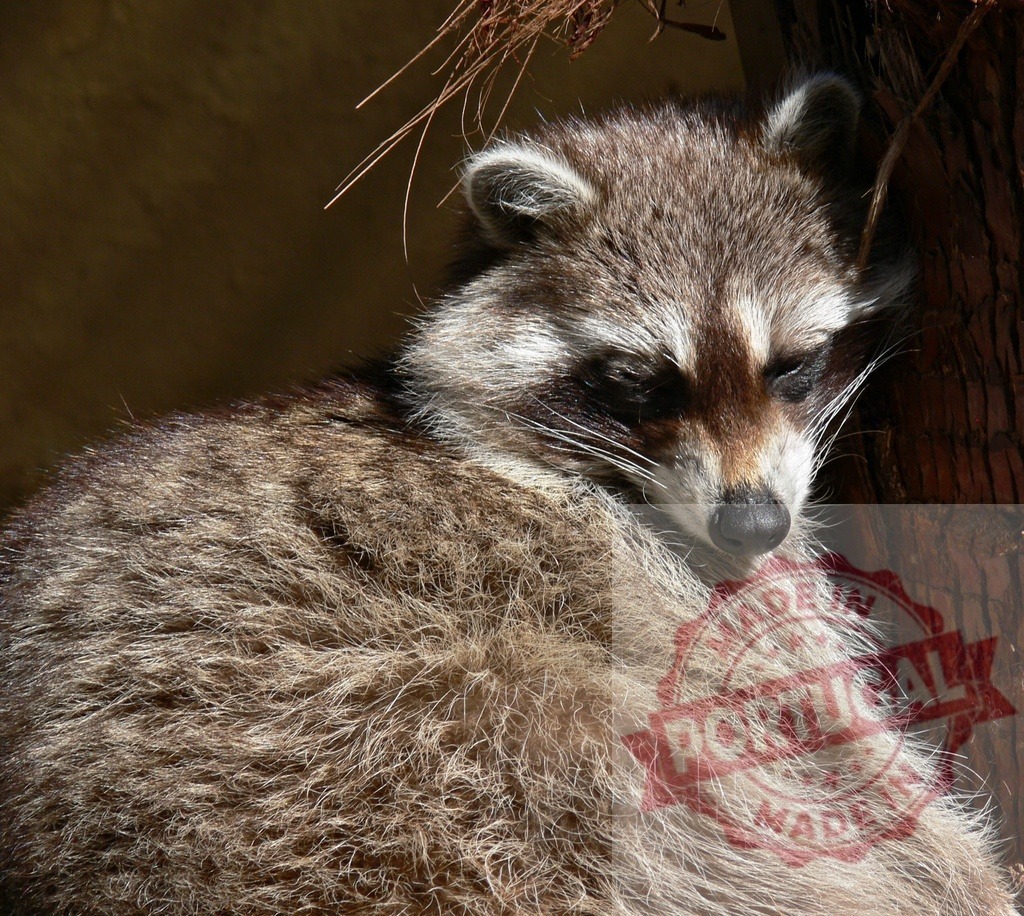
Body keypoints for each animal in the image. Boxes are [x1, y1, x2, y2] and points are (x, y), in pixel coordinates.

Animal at [0, 76, 1018, 915]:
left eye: (796, 367)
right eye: (644, 385)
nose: (755, 523)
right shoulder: (654, 582)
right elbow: (833, 749)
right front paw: (968, 874)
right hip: (387, 765)